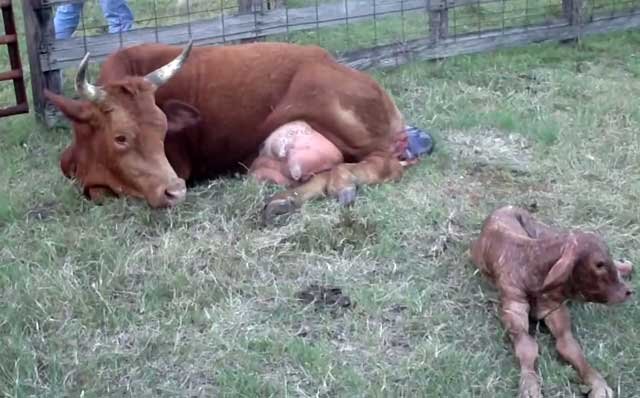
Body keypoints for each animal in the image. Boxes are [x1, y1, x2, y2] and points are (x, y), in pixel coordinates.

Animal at [45, 40, 430, 221]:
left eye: (163, 130)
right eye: (120, 137)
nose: (176, 191)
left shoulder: (176, 166)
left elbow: (105, 194)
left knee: (384, 164)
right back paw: (283, 201)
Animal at [470, 205, 636, 398]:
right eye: (599, 264)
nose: (627, 292)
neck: (531, 264)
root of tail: (506, 207)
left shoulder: (554, 310)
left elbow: (571, 348)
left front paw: (598, 384)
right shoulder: (513, 310)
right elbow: (527, 347)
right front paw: (530, 385)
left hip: (542, 230)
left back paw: (626, 265)